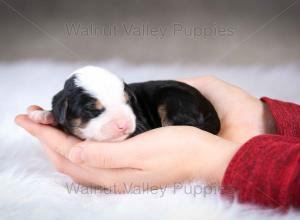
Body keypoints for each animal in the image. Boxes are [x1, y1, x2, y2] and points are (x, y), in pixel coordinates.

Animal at [29, 65, 219, 142]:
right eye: (91, 110)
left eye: (127, 102)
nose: (124, 125)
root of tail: (209, 106)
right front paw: (43, 114)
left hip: (172, 97)